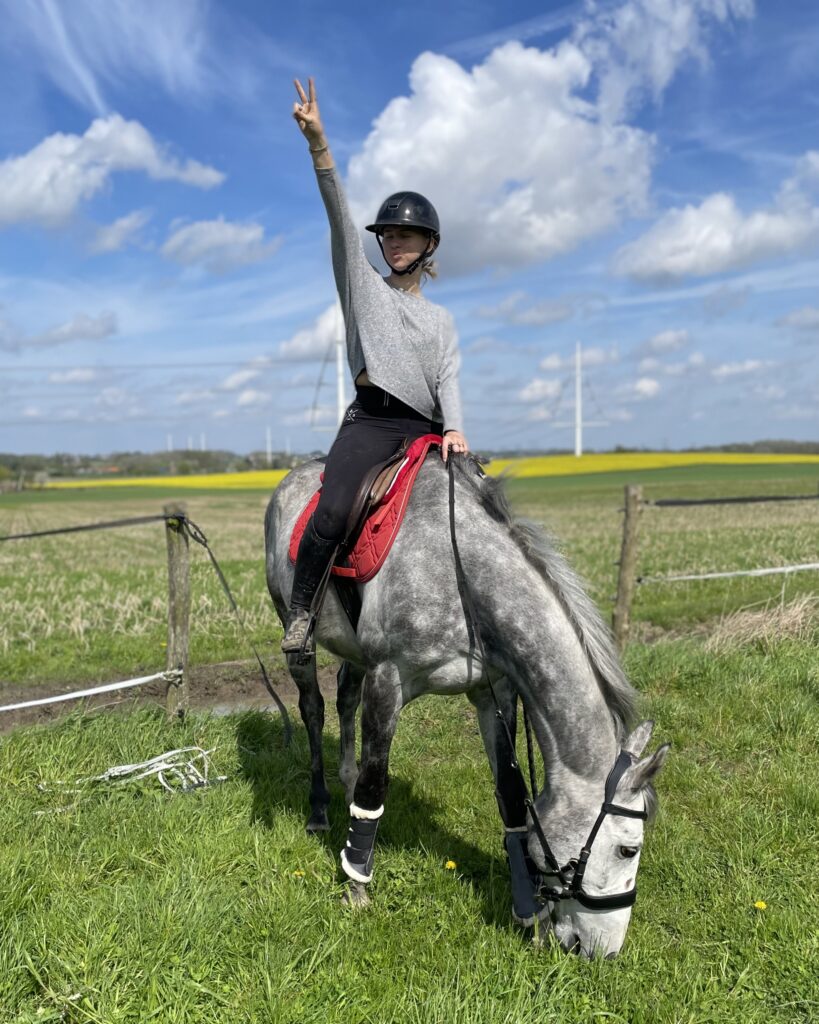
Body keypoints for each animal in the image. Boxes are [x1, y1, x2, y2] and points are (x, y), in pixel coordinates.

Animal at [266, 452, 667, 954]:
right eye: (629, 848)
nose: (605, 951)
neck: (461, 574)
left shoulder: (493, 692)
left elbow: (512, 800)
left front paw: (528, 912)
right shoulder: (387, 681)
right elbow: (375, 788)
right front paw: (356, 885)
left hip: (353, 653)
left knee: (343, 697)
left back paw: (344, 778)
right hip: (298, 637)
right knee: (314, 709)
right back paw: (319, 809)